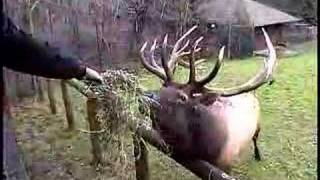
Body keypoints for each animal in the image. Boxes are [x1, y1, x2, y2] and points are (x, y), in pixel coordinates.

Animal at [140, 25, 278, 172]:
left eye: (183, 97)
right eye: (162, 88)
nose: (146, 97)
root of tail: (252, 94)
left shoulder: (225, 164)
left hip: (258, 125)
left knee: (255, 139)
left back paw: (258, 155)